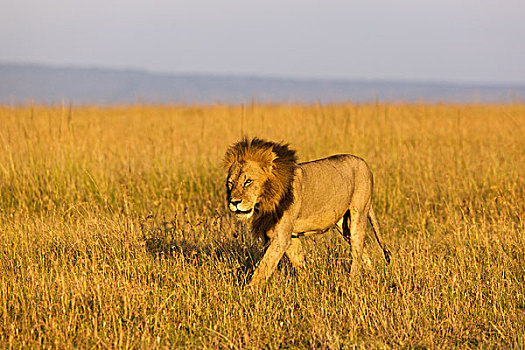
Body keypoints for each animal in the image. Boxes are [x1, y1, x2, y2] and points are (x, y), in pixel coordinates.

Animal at [223, 138, 390, 288]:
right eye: (230, 183)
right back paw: (373, 277)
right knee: (363, 248)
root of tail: (364, 162)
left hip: (358, 214)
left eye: (248, 181)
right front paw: (306, 285)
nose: (234, 202)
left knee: (356, 249)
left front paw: (248, 293)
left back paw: (352, 281)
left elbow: (264, 266)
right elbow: (299, 263)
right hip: (343, 225)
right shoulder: (290, 236)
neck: (267, 198)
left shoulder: (281, 236)